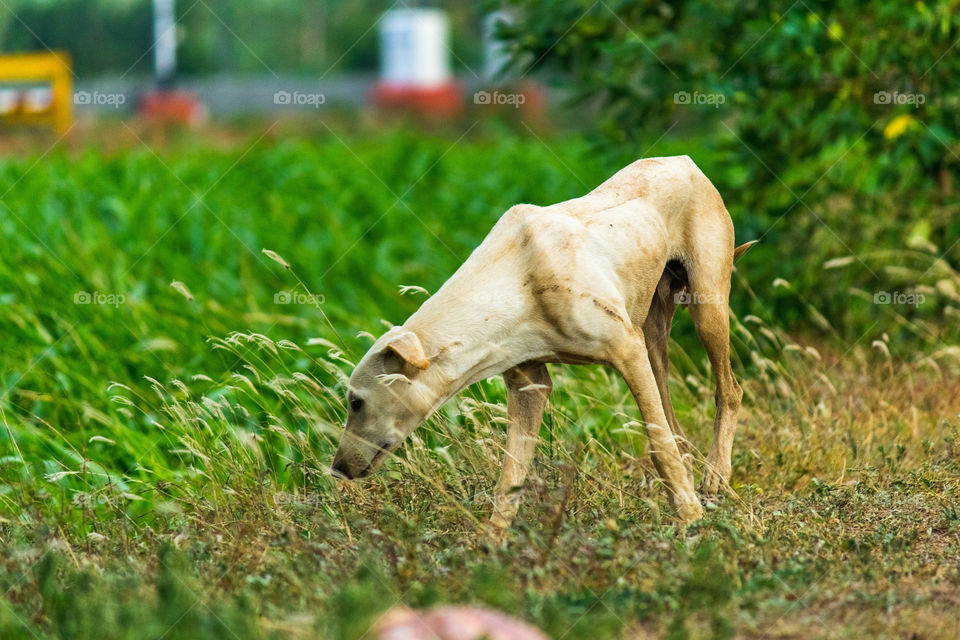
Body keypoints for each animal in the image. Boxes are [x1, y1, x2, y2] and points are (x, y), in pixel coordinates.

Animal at [334, 155, 752, 524]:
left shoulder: (627, 352)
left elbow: (658, 446)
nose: (337, 469)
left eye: (356, 402)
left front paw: (691, 521)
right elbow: (509, 480)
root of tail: (684, 161)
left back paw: (715, 477)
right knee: (673, 422)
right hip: (653, 336)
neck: (520, 278)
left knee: (728, 390)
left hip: (706, 309)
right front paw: (493, 547)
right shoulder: (528, 384)